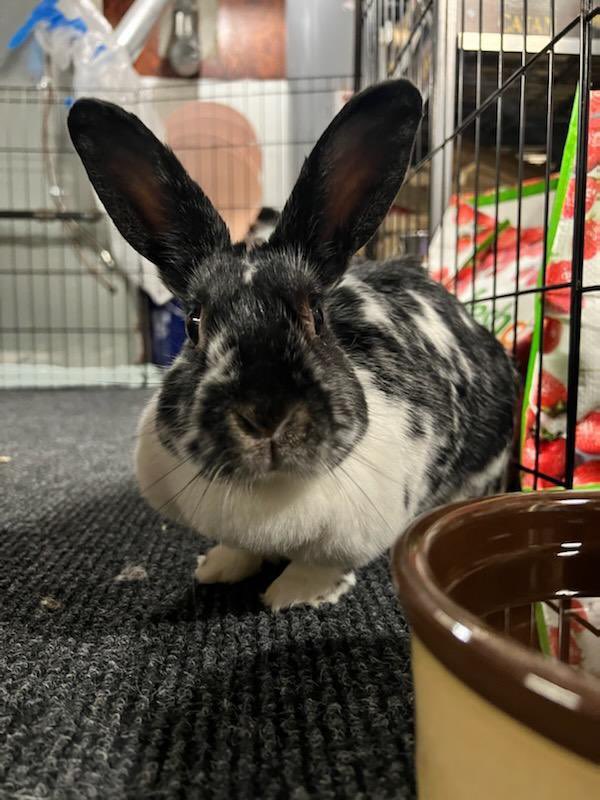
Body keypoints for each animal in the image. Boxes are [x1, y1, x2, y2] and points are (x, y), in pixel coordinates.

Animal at [67, 80, 516, 611]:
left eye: (316, 316)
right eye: (194, 323)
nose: (265, 415)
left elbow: (319, 563)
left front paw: (289, 595)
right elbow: (238, 548)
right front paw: (217, 569)